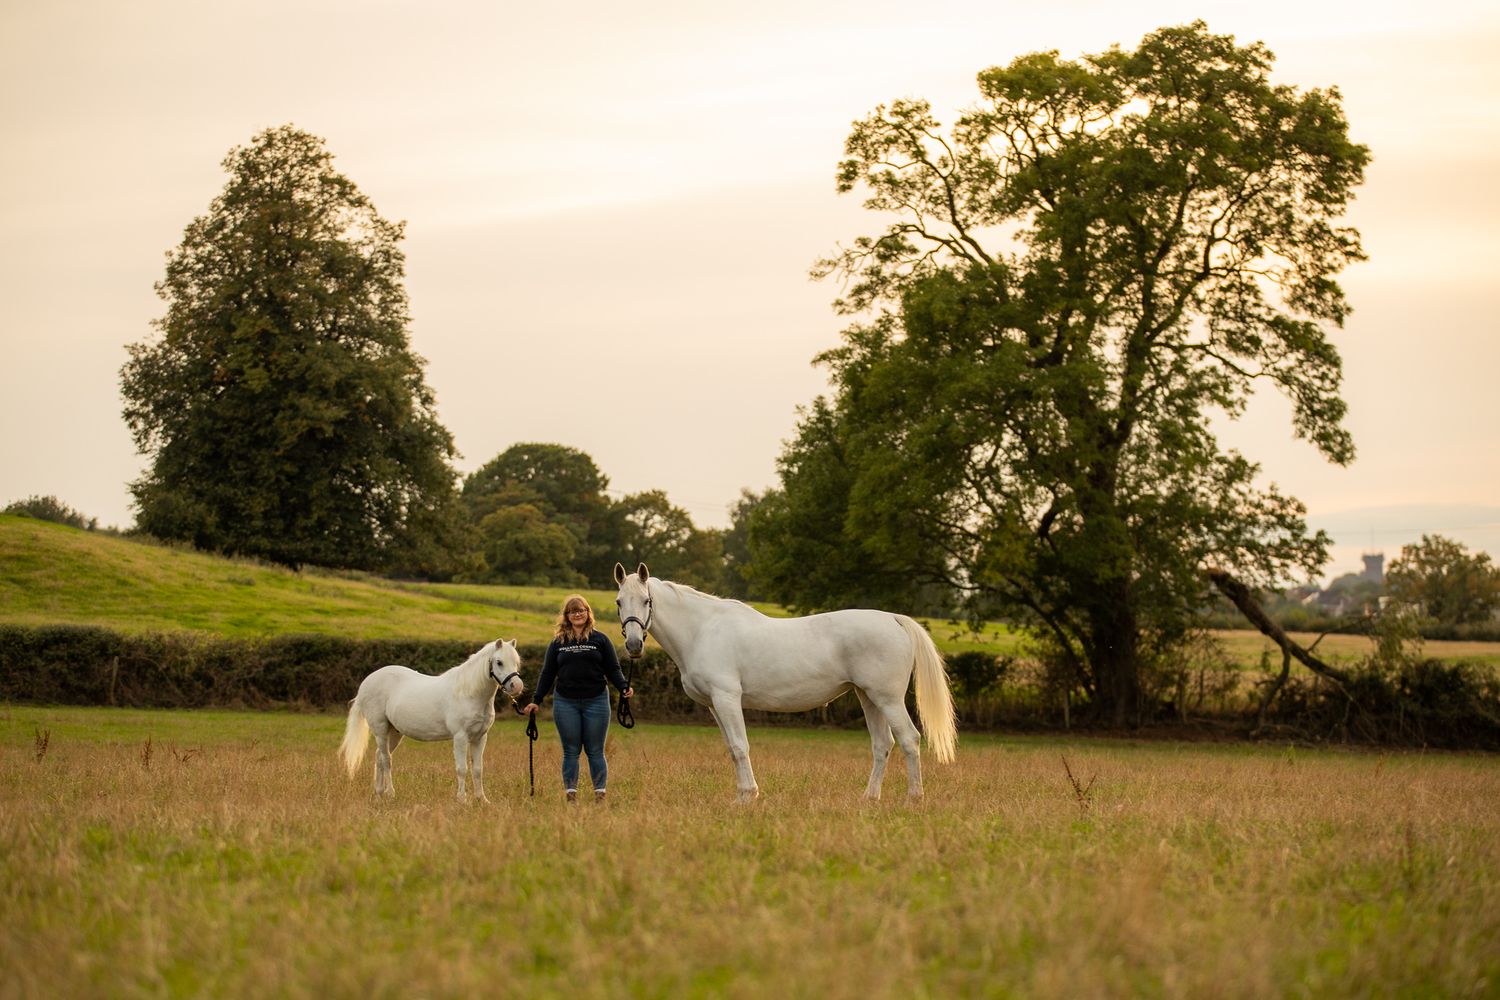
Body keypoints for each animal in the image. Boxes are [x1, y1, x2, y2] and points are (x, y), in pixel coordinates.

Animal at [339, 638, 525, 803]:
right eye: (499, 662)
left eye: (516, 662)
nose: (516, 686)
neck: (468, 693)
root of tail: (366, 683)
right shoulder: (460, 737)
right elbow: (462, 769)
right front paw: (462, 800)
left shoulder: (480, 737)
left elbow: (478, 769)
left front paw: (482, 800)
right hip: (380, 730)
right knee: (386, 760)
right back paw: (390, 794)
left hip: (394, 732)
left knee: (379, 757)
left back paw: (379, 795)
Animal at [612, 562, 956, 802]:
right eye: (618, 601)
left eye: (646, 601)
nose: (633, 645)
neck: (703, 630)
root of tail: (894, 619)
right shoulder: (713, 705)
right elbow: (731, 748)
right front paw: (741, 796)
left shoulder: (727, 698)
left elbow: (740, 746)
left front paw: (748, 796)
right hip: (867, 697)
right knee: (882, 744)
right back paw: (869, 799)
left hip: (887, 699)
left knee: (910, 739)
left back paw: (914, 799)